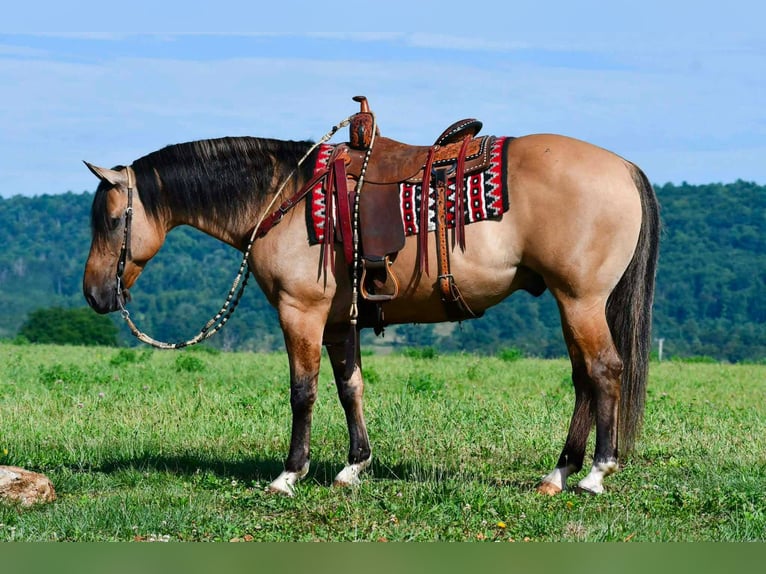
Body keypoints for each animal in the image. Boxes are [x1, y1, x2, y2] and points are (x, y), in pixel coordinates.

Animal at [82, 110, 659, 496]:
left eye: (110, 220)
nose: (94, 294)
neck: (283, 194)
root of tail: (623, 167)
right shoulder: (340, 322)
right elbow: (350, 388)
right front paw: (354, 466)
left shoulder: (301, 312)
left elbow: (304, 392)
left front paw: (289, 473)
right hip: (572, 303)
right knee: (583, 378)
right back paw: (558, 473)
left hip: (581, 300)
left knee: (604, 371)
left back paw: (595, 472)